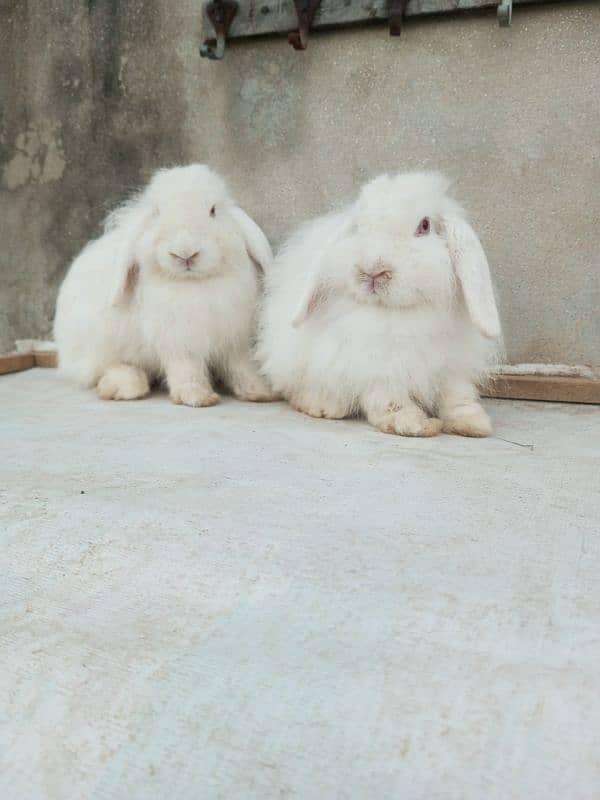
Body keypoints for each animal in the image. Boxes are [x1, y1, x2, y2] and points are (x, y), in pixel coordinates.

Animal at [54, 166, 276, 410]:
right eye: (157, 213)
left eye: (213, 210)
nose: (185, 252)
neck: (193, 285)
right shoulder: (179, 342)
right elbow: (187, 370)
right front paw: (197, 397)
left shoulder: (234, 341)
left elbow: (241, 367)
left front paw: (261, 392)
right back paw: (120, 385)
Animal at [258, 170, 502, 438]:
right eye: (358, 227)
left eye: (424, 226)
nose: (373, 270)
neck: (398, 313)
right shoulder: (377, 366)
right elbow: (389, 398)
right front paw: (416, 424)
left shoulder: (451, 367)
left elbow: (457, 395)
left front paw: (472, 424)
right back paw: (323, 407)